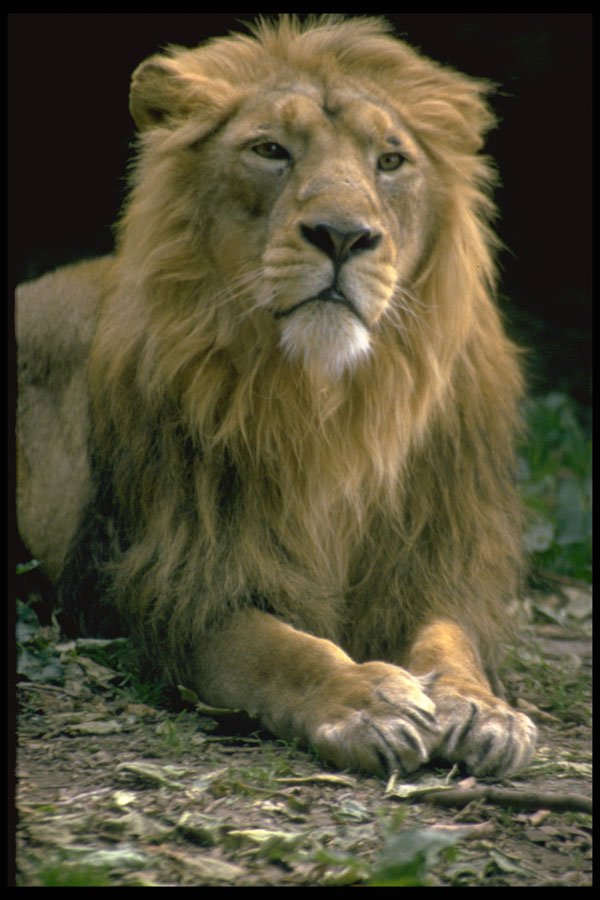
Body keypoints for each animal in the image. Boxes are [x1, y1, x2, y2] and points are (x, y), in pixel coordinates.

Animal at [17, 15, 537, 778]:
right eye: (270, 150)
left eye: (390, 161)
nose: (342, 236)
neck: (330, 403)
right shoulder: (175, 583)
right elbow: (275, 647)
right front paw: (366, 700)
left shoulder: (434, 558)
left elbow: (452, 637)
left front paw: (482, 709)